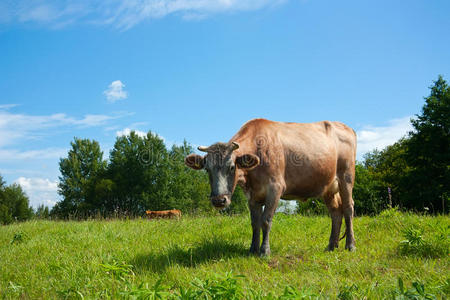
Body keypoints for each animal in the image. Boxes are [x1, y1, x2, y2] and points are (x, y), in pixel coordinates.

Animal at [185, 118, 356, 255]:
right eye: (207, 169)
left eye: (232, 167)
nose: (219, 201)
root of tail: (346, 127)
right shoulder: (252, 195)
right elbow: (255, 222)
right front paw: (252, 249)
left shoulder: (275, 188)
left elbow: (266, 220)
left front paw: (264, 251)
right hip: (328, 187)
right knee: (335, 212)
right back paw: (331, 246)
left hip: (346, 176)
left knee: (348, 208)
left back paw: (350, 245)